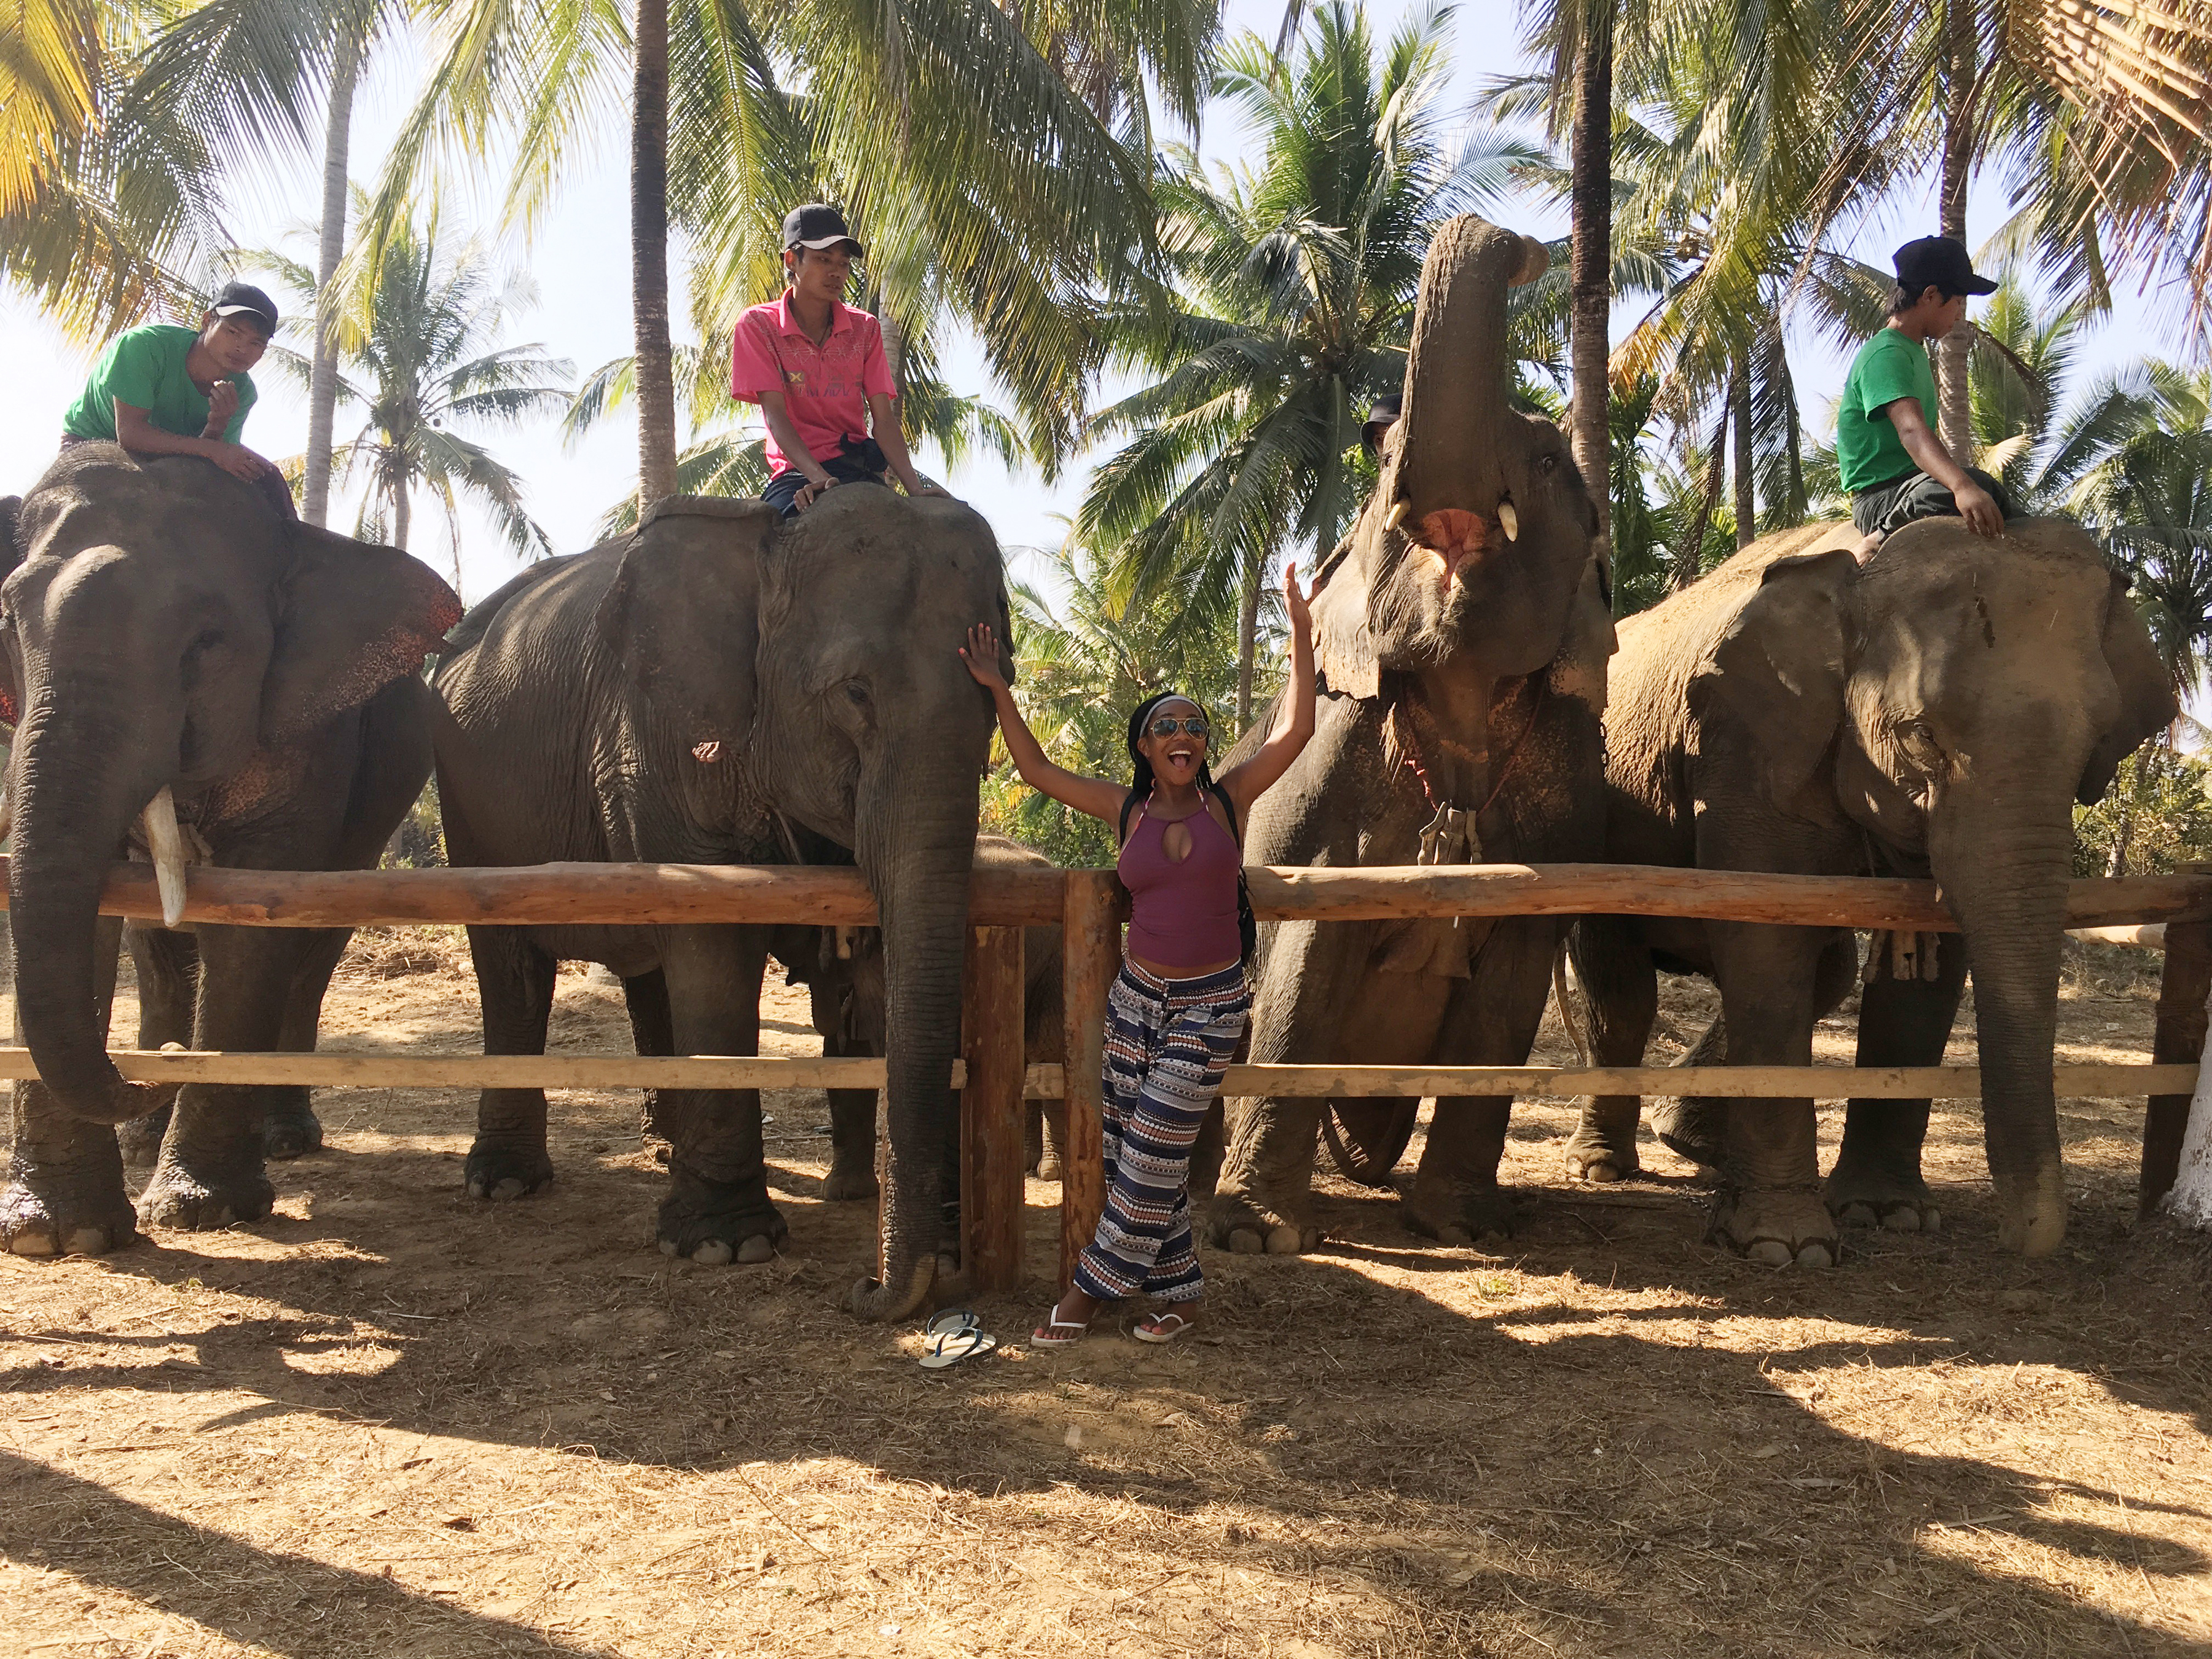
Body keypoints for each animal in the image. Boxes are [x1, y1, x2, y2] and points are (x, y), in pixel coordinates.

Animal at [0, 442, 460, 1256]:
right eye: (8, 617)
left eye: (207, 643)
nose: (164, 1068)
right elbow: (88, 913)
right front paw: (53, 1236)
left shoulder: (310, 733)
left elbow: (256, 913)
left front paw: (199, 1210)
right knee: (158, 951)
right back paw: (144, 1138)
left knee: (311, 946)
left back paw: (281, 1137)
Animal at [425, 487, 1013, 1318]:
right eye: (855, 693)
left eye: (1001, 690)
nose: (865, 1290)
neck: (770, 547)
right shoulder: (659, 737)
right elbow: (715, 939)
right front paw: (726, 1246)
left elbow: (872, 963)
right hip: (470, 804)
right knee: (511, 967)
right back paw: (505, 1184)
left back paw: (665, 1145)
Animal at [779, 836, 1070, 1203]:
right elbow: (847, 1059)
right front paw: (843, 1193)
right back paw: (1025, 1163)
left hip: (1054, 958)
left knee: (1045, 1049)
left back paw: (1052, 1170)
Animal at [1203, 214, 1619, 1256]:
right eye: (1383, 460)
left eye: (1549, 462)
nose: (1526, 245)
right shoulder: (1324, 781)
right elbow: (1303, 973)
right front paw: (1256, 1234)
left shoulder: (1564, 807)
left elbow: (1508, 992)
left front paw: (1464, 1224)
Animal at [1566, 526, 2168, 1265]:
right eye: (1922, 737)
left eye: (2096, 744)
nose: (2018, 1239)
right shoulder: (1748, 743)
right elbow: (1765, 941)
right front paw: (1787, 1247)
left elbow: (1929, 962)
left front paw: (1891, 1215)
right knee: (1621, 990)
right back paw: (1602, 1165)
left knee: (1826, 974)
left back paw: (1695, 1144)